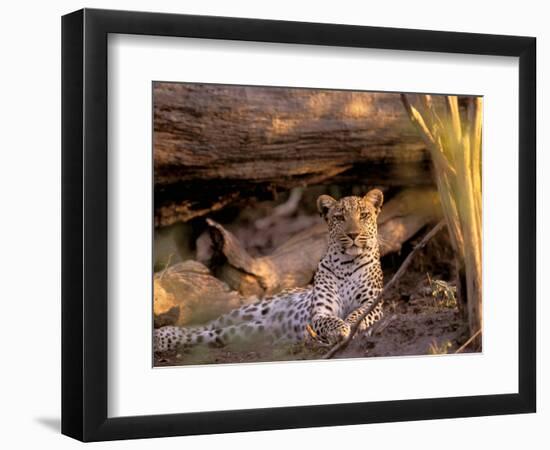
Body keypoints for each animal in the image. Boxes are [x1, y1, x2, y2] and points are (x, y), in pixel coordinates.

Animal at [155, 188, 386, 354]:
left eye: (364, 215)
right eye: (339, 218)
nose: (353, 234)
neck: (347, 263)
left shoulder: (373, 304)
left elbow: (358, 314)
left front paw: (351, 327)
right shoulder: (321, 310)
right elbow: (328, 320)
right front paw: (342, 329)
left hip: (247, 331)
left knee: (210, 335)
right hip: (247, 311)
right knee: (206, 325)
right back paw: (163, 336)